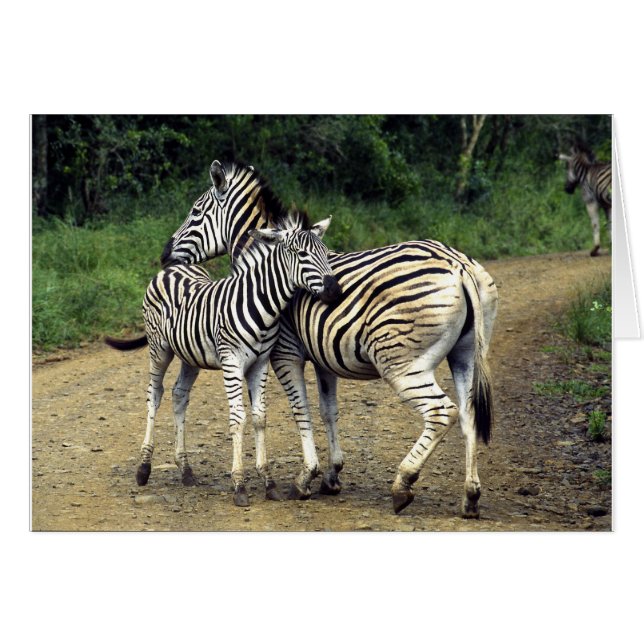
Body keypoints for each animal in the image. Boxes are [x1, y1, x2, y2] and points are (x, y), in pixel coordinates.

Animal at [105, 217, 341, 507]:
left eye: (326, 253)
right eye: (301, 254)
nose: (335, 290)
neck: (263, 306)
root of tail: (172, 268)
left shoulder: (260, 363)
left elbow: (260, 417)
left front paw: (268, 482)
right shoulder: (232, 362)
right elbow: (238, 419)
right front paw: (239, 485)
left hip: (190, 355)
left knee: (179, 395)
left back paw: (185, 469)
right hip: (159, 349)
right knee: (155, 394)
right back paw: (143, 468)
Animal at [162, 160, 498, 517]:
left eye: (196, 211)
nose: (165, 255)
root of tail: (459, 265)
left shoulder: (285, 353)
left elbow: (301, 409)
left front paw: (305, 478)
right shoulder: (325, 356)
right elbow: (328, 411)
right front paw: (332, 475)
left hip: (401, 363)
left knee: (441, 411)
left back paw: (402, 484)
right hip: (464, 355)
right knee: (469, 415)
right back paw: (470, 497)